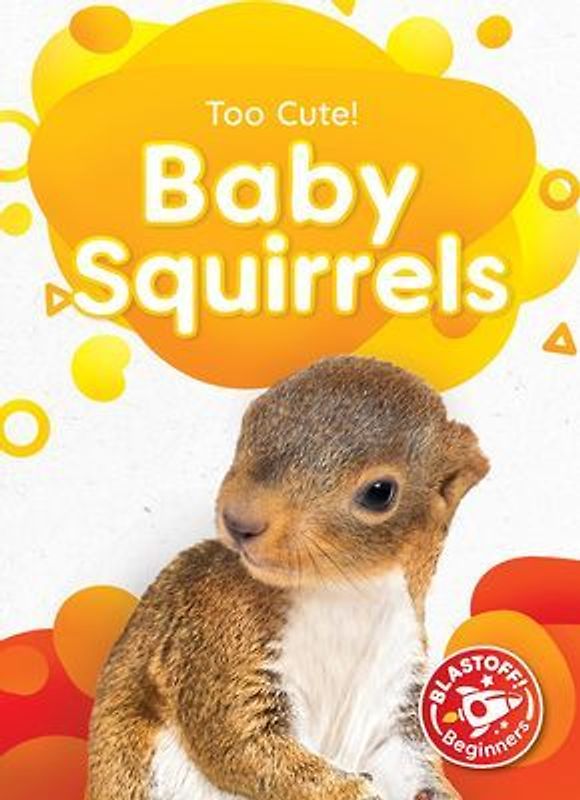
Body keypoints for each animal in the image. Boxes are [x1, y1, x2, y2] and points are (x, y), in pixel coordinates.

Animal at [89, 356, 489, 800]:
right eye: (250, 423)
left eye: (379, 492)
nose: (239, 520)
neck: (346, 597)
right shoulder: (215, 638)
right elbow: (240, 741)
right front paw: (353, 790)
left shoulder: (395, 690)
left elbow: (407, 761)